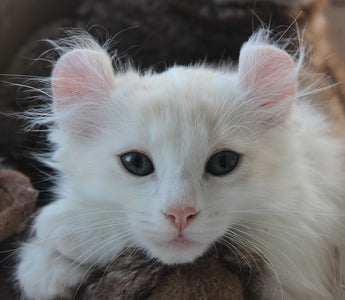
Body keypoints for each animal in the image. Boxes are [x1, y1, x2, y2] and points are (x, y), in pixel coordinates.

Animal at [15, 31, 344, 298]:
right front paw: (45, 268)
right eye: (136, 163)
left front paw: (67, 227)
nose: (180, 214)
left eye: (224, 162)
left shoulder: (305, 243)